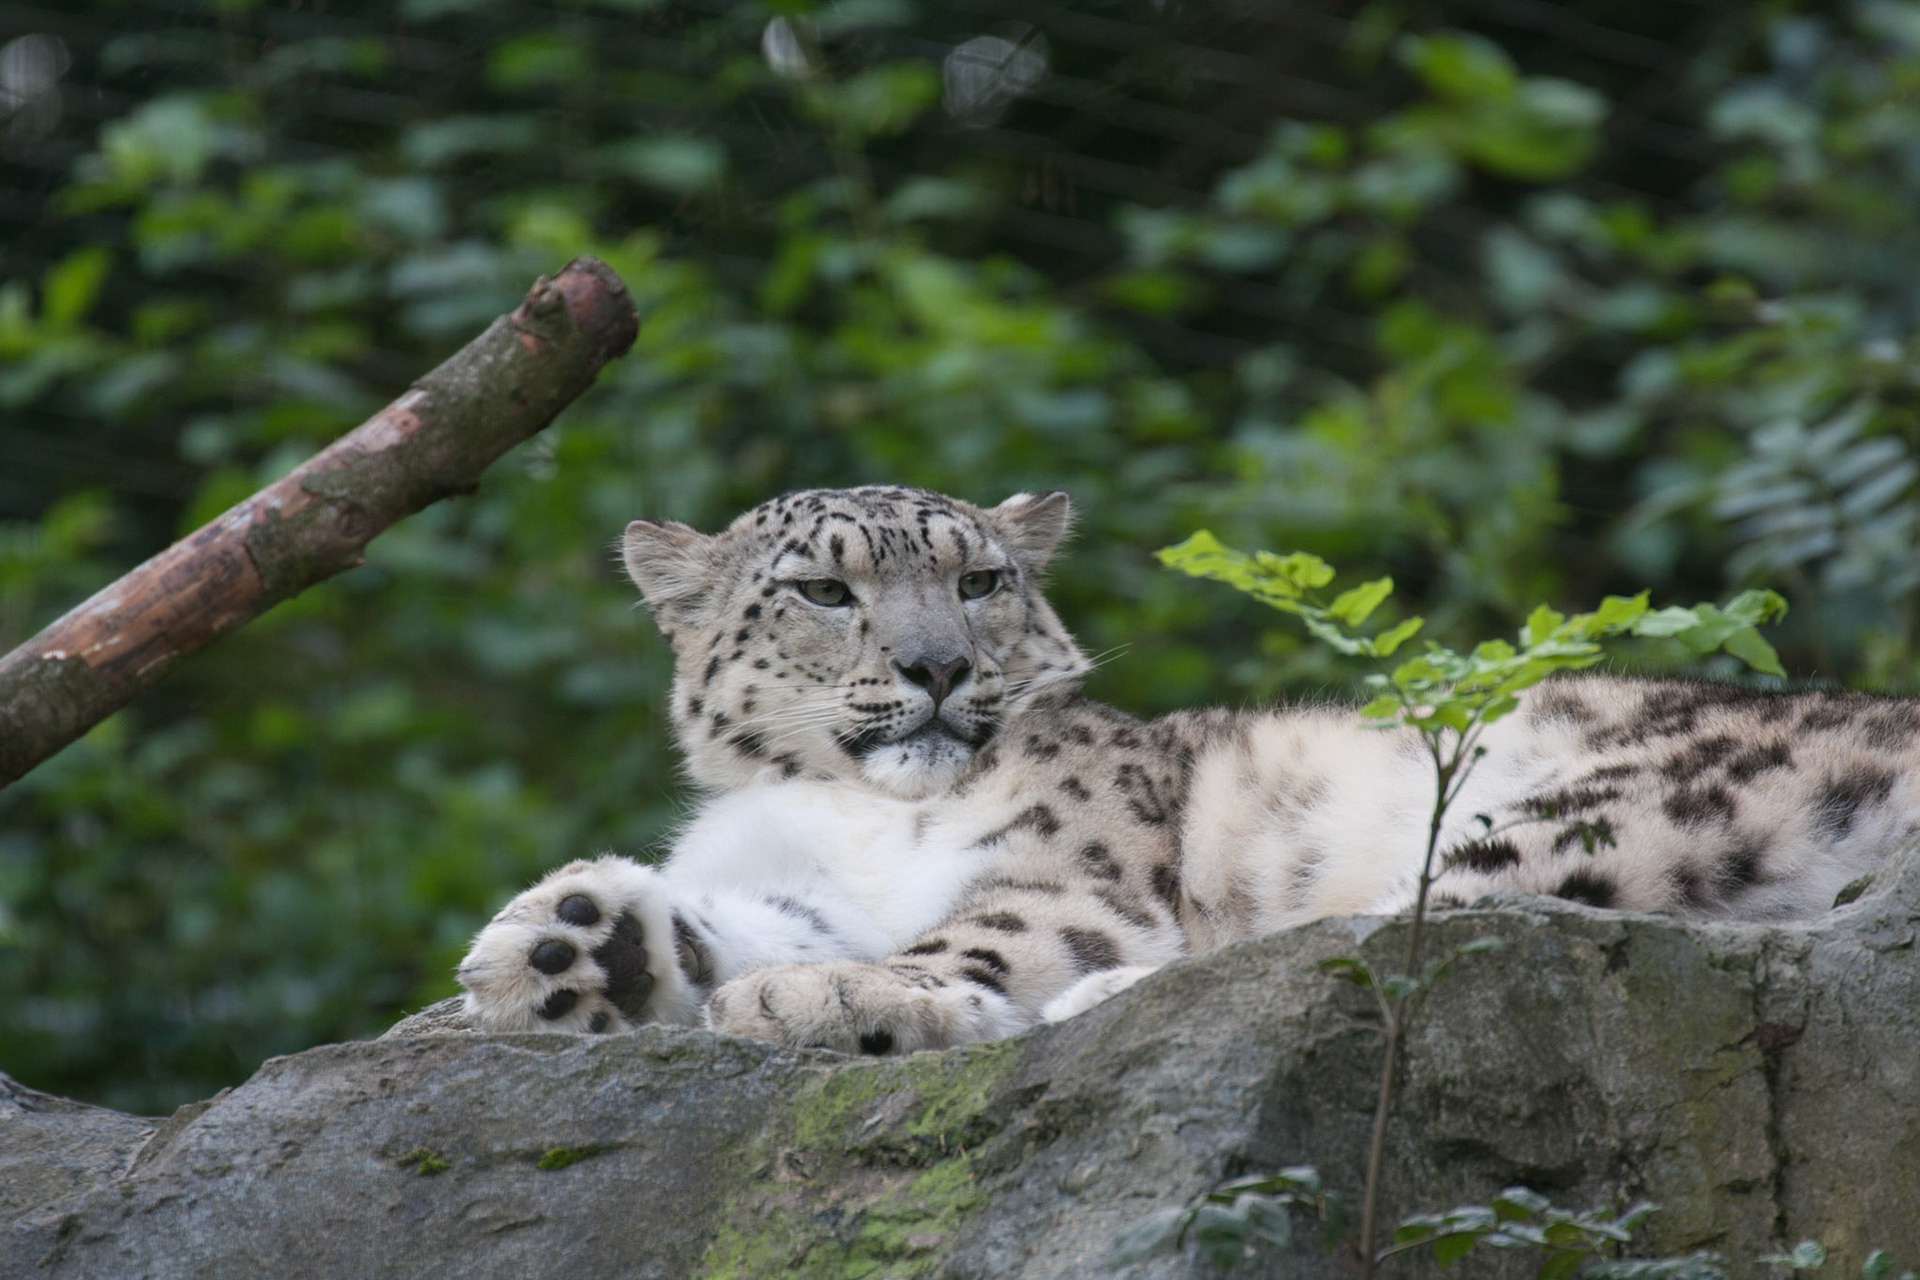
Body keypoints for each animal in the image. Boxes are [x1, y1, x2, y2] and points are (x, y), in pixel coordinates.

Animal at [456, 484, 1920, 1053]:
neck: (860, 806)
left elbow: (967, 939)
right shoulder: (799, 878)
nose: (937, 668)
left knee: (1407, 931)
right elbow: (750, 919)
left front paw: (824, 998)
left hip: (1600, 800)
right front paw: (566, 943)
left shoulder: (1063, 876)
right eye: (823, 588)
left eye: (981, 579)